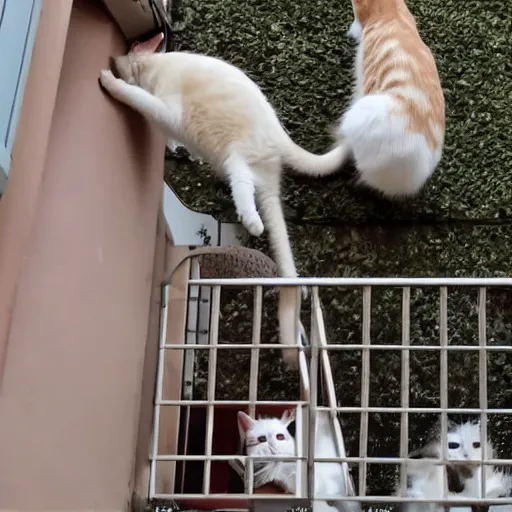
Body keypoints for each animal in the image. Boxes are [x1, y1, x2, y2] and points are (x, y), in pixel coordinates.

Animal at [97, 43, 342, 368]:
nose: (115, 60)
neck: (157, 65)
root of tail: (278, 135)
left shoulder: (166, 108)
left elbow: (140, 100)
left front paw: (112, 83)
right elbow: (167, 134)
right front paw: (173, 146)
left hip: (236, 156)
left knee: (243, 189)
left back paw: (252, 221)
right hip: (257, 178)